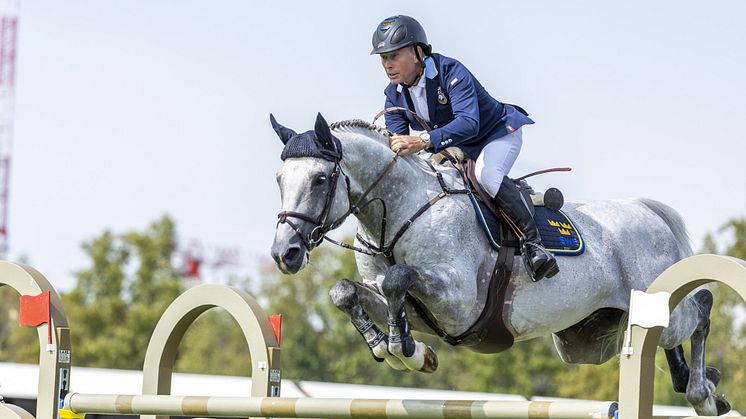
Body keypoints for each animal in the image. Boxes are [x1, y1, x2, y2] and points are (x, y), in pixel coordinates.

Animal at [266, 112, 728, 416]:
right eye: (279, 180)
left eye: (320, 180)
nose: (284, 254)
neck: (400, 212)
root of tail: (646, 211)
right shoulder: (415, 307)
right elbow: (346, 291)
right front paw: (399, 349)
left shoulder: (458, 304)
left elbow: (399, 278)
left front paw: (403, 350)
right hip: (587, 344)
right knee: (670, 336)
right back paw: (698, 381)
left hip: (650, 305)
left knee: (699, 308)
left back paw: (704, 393)